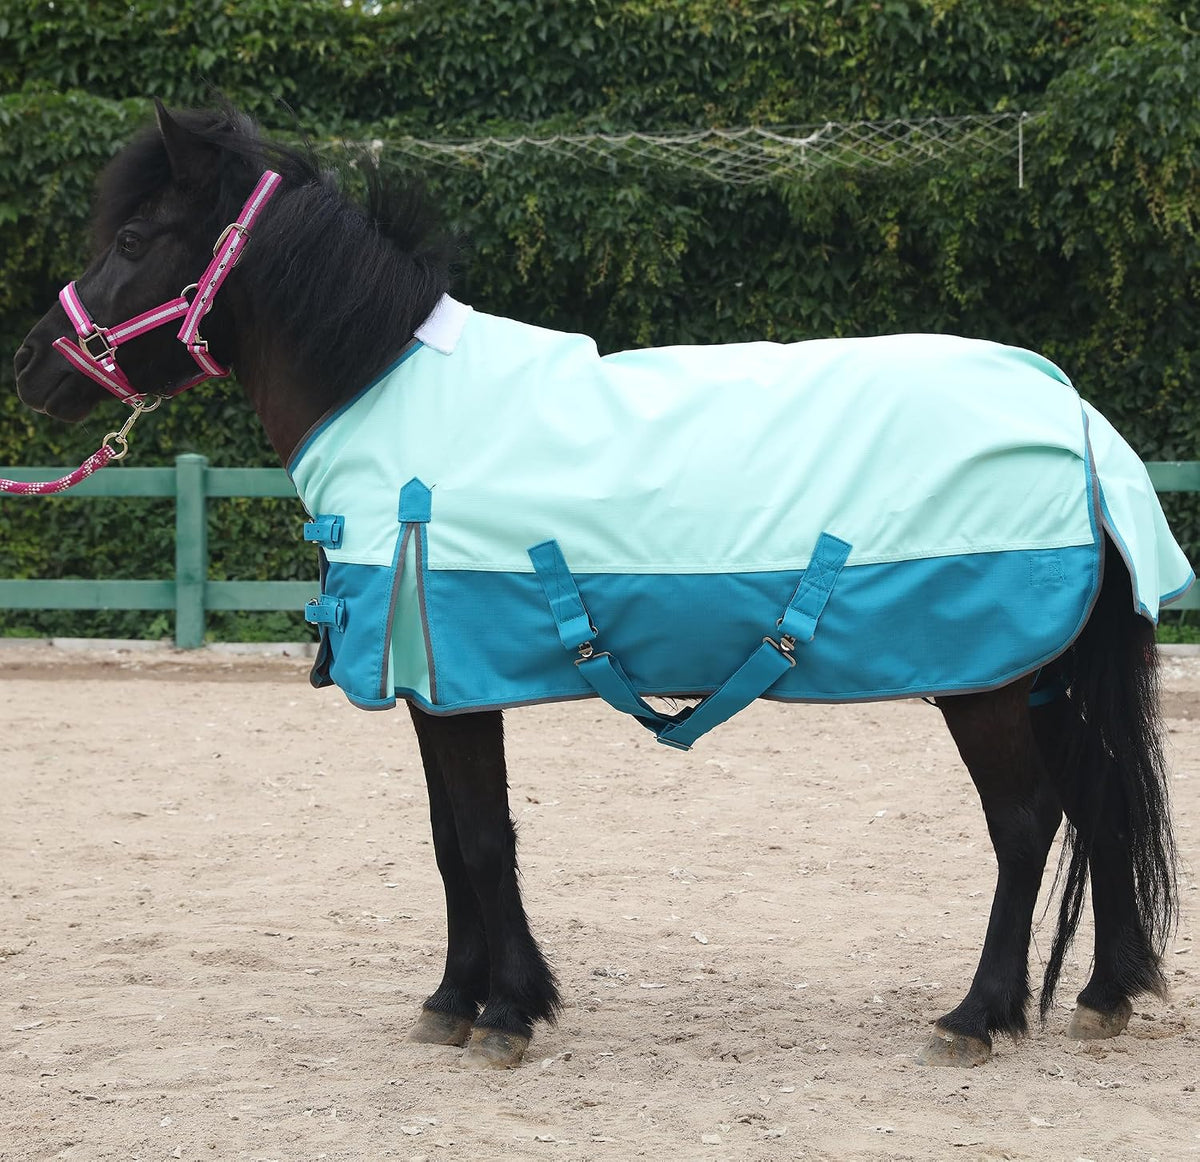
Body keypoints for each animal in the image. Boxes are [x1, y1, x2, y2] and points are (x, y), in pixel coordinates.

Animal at [12, 102, 1187, 1070]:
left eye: (131, 241)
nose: (30, 365)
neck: (386, 394)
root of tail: (1075, 417)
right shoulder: (440, 685)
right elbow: (451, 839)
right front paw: (458, 1000)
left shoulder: (455, 678)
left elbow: (483, 837)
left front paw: (504, 1015)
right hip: (1041, 677)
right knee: (1100, 806)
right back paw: (1104, 993)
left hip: (985, 685)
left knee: (1028, 823)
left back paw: (977, 1015)